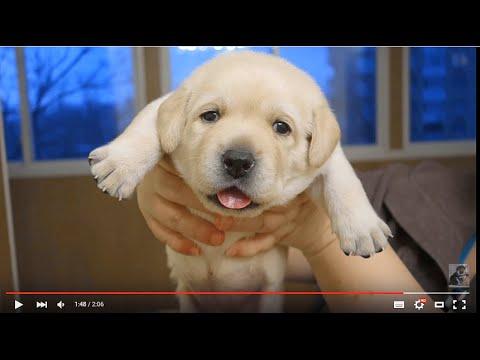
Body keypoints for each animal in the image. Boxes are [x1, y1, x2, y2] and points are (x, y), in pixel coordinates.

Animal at [88, 50, 392, 312]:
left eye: (281, 127)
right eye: (210, 115)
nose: (237, 161)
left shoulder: (326, 156)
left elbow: (343, 179)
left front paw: (362, 228)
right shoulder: (162, 106)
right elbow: (147, 122)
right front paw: (119, 163)